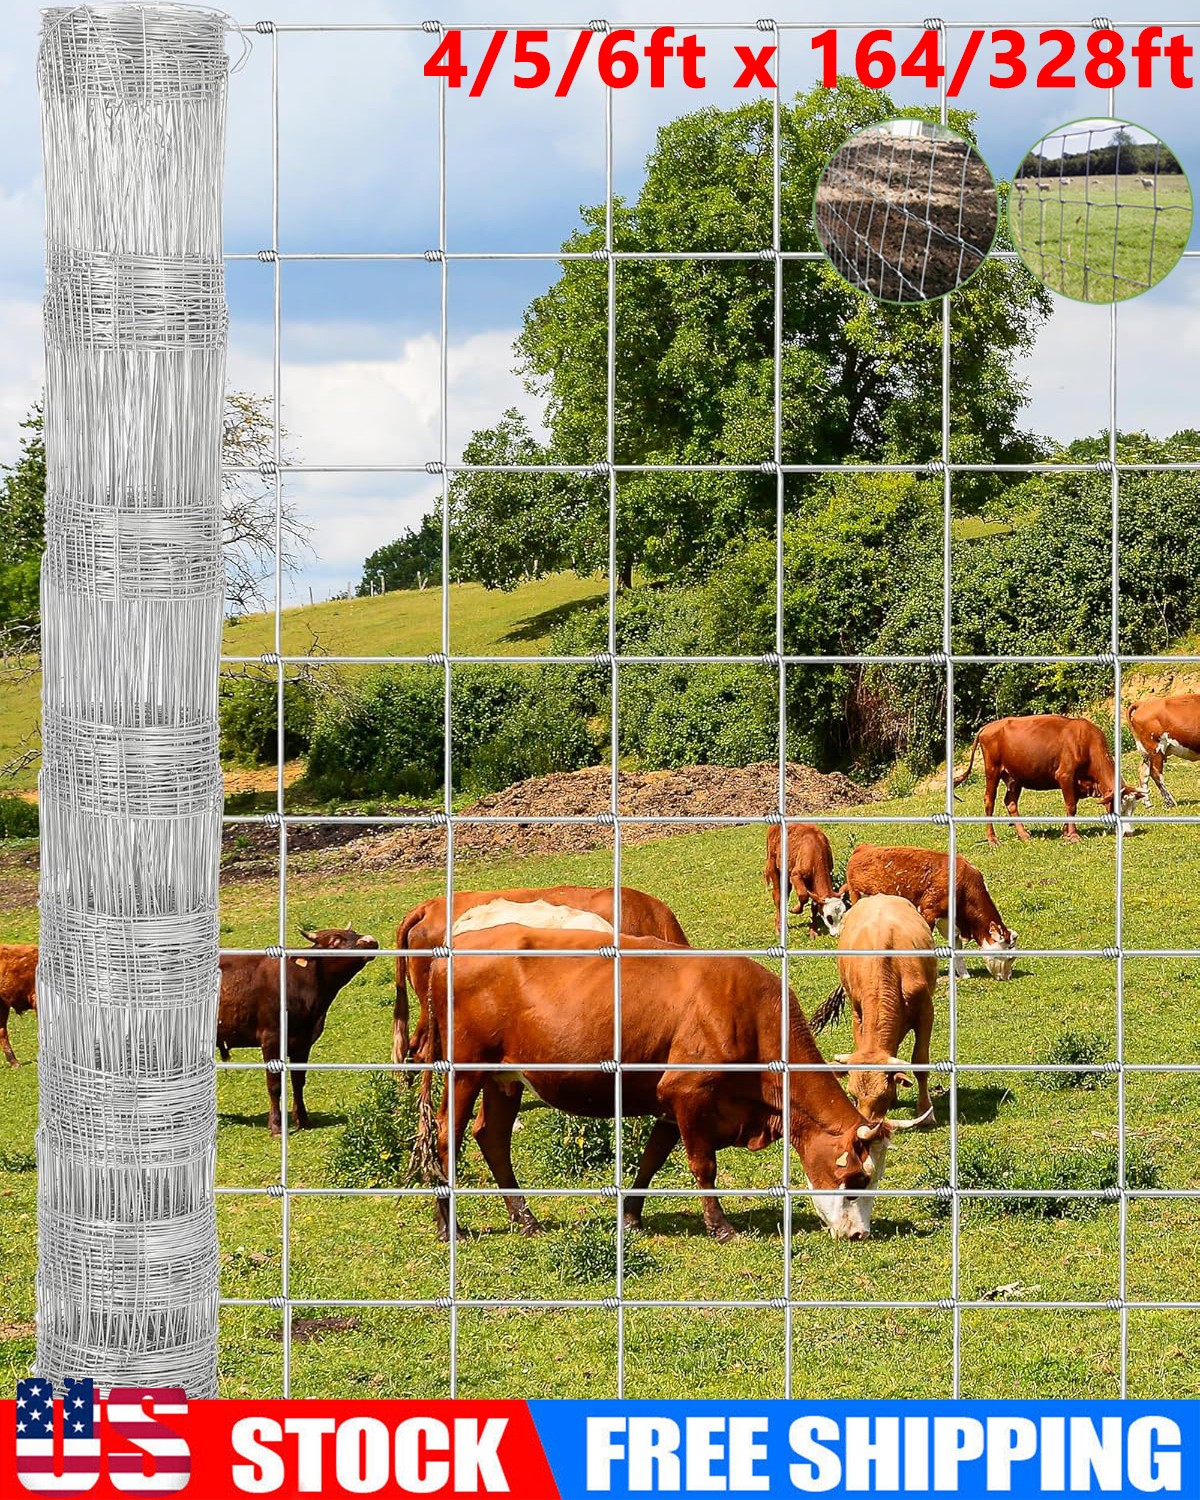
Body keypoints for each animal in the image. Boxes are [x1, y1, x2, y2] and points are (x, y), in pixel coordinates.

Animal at [218, 926, 378, 1135]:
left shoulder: (303, 1041)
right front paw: (276, 1125)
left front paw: (303, 1119)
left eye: (354, 932)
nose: (370, 940)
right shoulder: (271, 1038)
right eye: (335, 940)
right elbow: (274, 1084)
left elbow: (298, 1080)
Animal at [417, 924, 926, 1244]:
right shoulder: (688, 1091)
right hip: (465, 1070)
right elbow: (703, 1166)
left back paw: (525, 1219)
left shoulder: (670, 1101)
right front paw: (721, 1228)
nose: (859, 1234)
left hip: (504, 1078)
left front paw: (630, 1217)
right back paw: (449, 1226)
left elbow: (652, 1158)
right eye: (855, 1180)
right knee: (445, 1139)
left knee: (492, 1137)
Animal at [810, 894, 939, 1127]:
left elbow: (920, 1062)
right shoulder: (857, 1012)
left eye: (882, 1095)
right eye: (853, 1095)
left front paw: (926, 1111)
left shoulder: (926, 1012)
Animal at [843, 845, 1016, 980]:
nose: (1007, 977)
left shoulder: (950, 922)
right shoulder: (928, 913)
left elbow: (956, 946)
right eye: (1009, 957)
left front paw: (964, 974)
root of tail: (863, 848)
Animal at [953, 714, 1145, 843]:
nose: (1129, 833)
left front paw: (1065, 832)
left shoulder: (1075, 782)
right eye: (1119, 808)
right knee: (989, 802)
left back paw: (1024, 835)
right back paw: (992, 839)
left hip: (1014, 776)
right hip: (992, 770)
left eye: (1133, 809)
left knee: (1011, 802)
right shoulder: (1065, 775)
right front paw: (1073, 835)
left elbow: (1070, 806)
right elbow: (1071, 806)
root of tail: (988, 727)